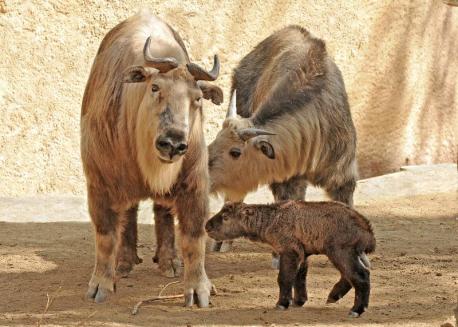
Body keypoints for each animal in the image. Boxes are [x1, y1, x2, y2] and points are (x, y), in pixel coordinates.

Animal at [205, 201, 376, 316]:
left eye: (225, 217)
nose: (207, 226)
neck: (271, 220)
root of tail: (367, 230)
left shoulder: (289, 251)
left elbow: (284, 278)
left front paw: (282, 303)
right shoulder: (302, 254)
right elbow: (299, 279)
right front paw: (299, 301)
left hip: (339, 252)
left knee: (360, 276)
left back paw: (357, 309)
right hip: (348, 254)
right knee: (354, 274)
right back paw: (334, 296)